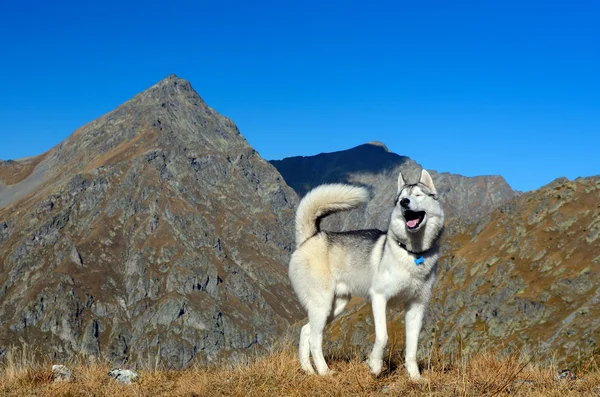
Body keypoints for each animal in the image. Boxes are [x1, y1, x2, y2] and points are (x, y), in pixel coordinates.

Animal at [288, 169, 442, 378]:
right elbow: (383, 336)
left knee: (305, 331)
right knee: (314, 339)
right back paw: (325, 371)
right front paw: (375, 365)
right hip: (322, 305)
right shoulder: (379, 297)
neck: (412, 253)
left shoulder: (416, 306)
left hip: (335, 306)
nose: (405, 202)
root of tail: (311, 238)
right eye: (401, 198)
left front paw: (415, 378)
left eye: (418, 195)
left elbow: (412, 348)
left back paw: (309, 370)